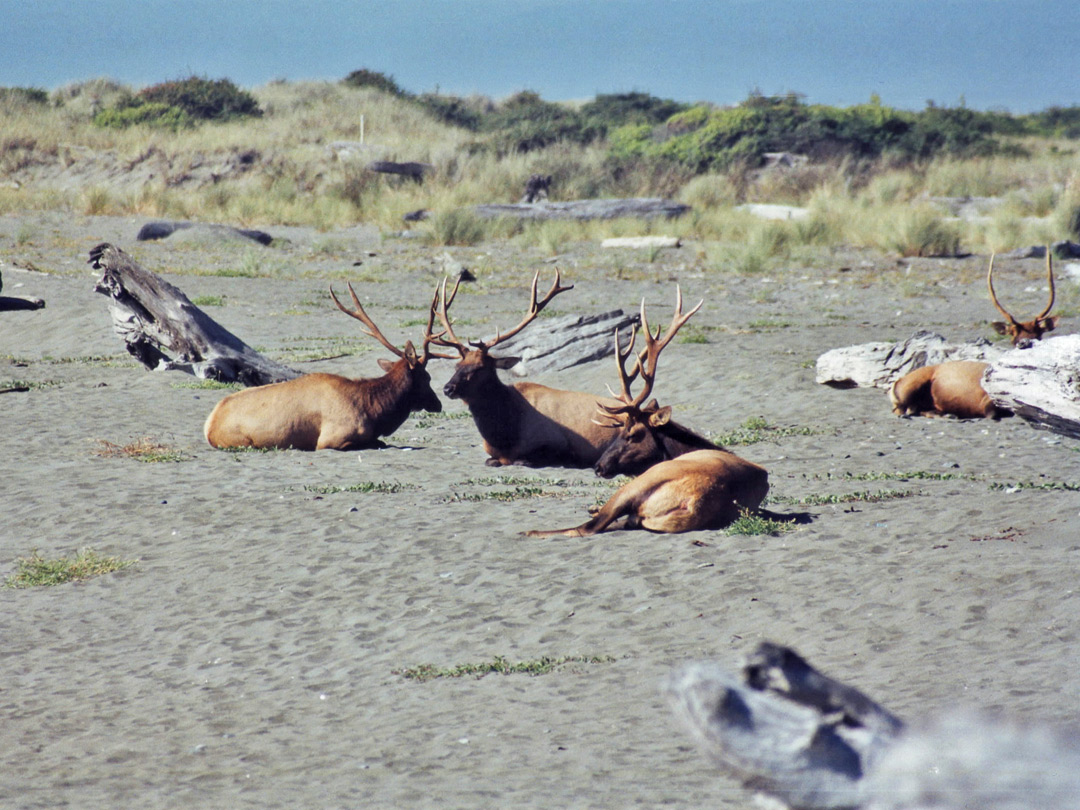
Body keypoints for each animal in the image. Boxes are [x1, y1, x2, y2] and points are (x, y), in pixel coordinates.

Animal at [204, 282, 449, 451]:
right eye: (426, 377)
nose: (438, 403)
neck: (372, 409)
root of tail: (209, 425)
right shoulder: (331, 439)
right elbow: (380, 443)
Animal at [429, 270, 622, 466]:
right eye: (457, 365)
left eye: (480, 367)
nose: (447, 388)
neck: (504, 437)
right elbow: (490, 460)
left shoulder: (559, 443)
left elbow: (525, 460)